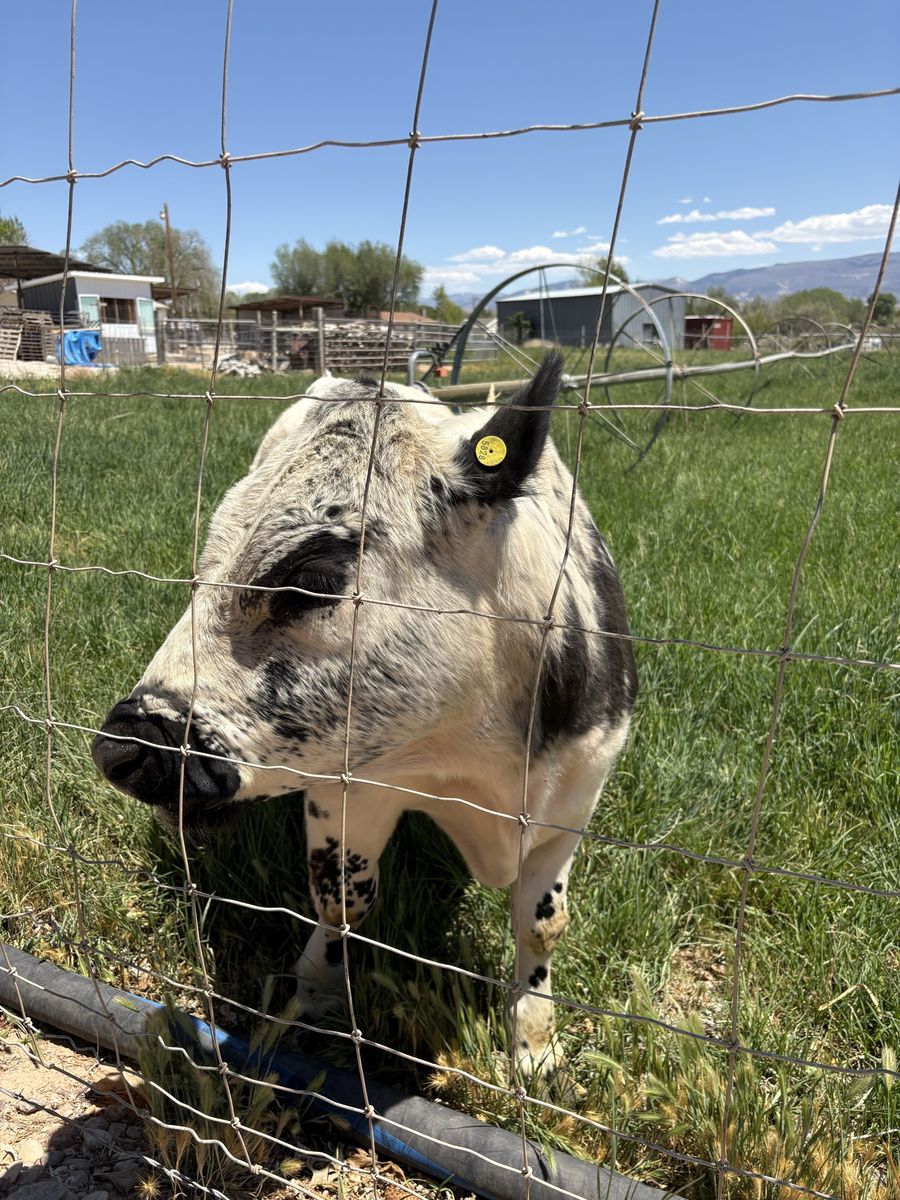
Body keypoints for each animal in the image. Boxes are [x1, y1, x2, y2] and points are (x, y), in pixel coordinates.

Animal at [91, 353, 637, 1077]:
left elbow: (543, 923)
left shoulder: (574, 797)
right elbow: (342, 902)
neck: (473, 757)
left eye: (310, 578)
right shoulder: (345, 791)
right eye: (201, 573)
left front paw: (534, 1047)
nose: (124, 743)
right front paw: (309, 997)